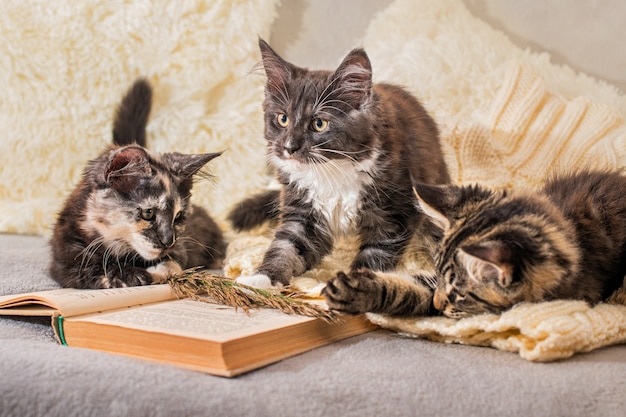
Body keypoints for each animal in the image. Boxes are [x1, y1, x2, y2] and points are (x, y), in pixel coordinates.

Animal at [49, 78, 224, 288]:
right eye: (148, 213)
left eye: (179, 217)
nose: (168, 241)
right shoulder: (66, 261)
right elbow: (98, 271)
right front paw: (133, 275)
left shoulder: (181, 247)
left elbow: (173, 263)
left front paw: (158, 271)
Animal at [229, 38, 448, 290]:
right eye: (282, 119)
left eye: (319, 124)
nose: (290, 147)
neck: (330, 170)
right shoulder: (303, 212)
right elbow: (286, 247)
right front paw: (261, 279)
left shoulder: (394, 215)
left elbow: (374, 256)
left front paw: (353, 287)